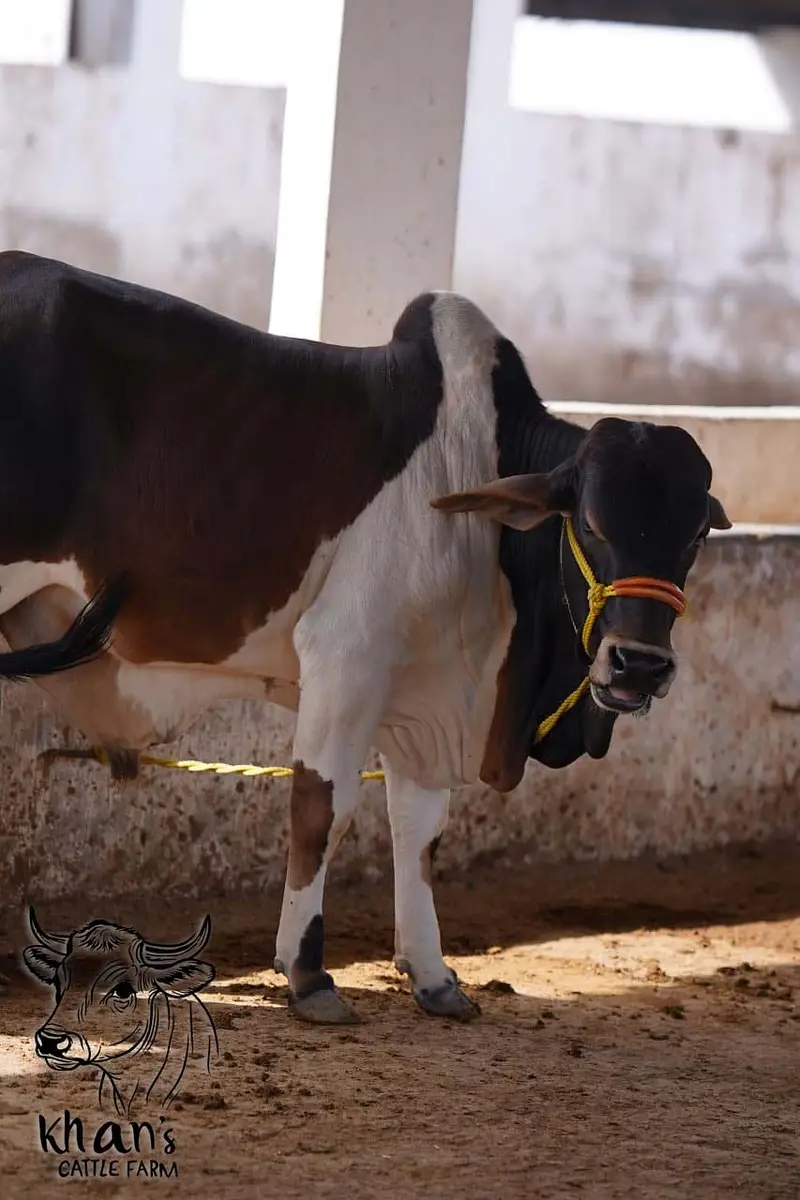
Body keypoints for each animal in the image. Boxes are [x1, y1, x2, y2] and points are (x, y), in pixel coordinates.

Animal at [0, 251, 730, 1024]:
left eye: (697, 533)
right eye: (589, 522)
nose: (639, 665)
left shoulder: (427, 687)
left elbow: (419, 828)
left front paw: (433, 975)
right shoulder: (348, 656)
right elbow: (322, 807)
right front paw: (307, 973)